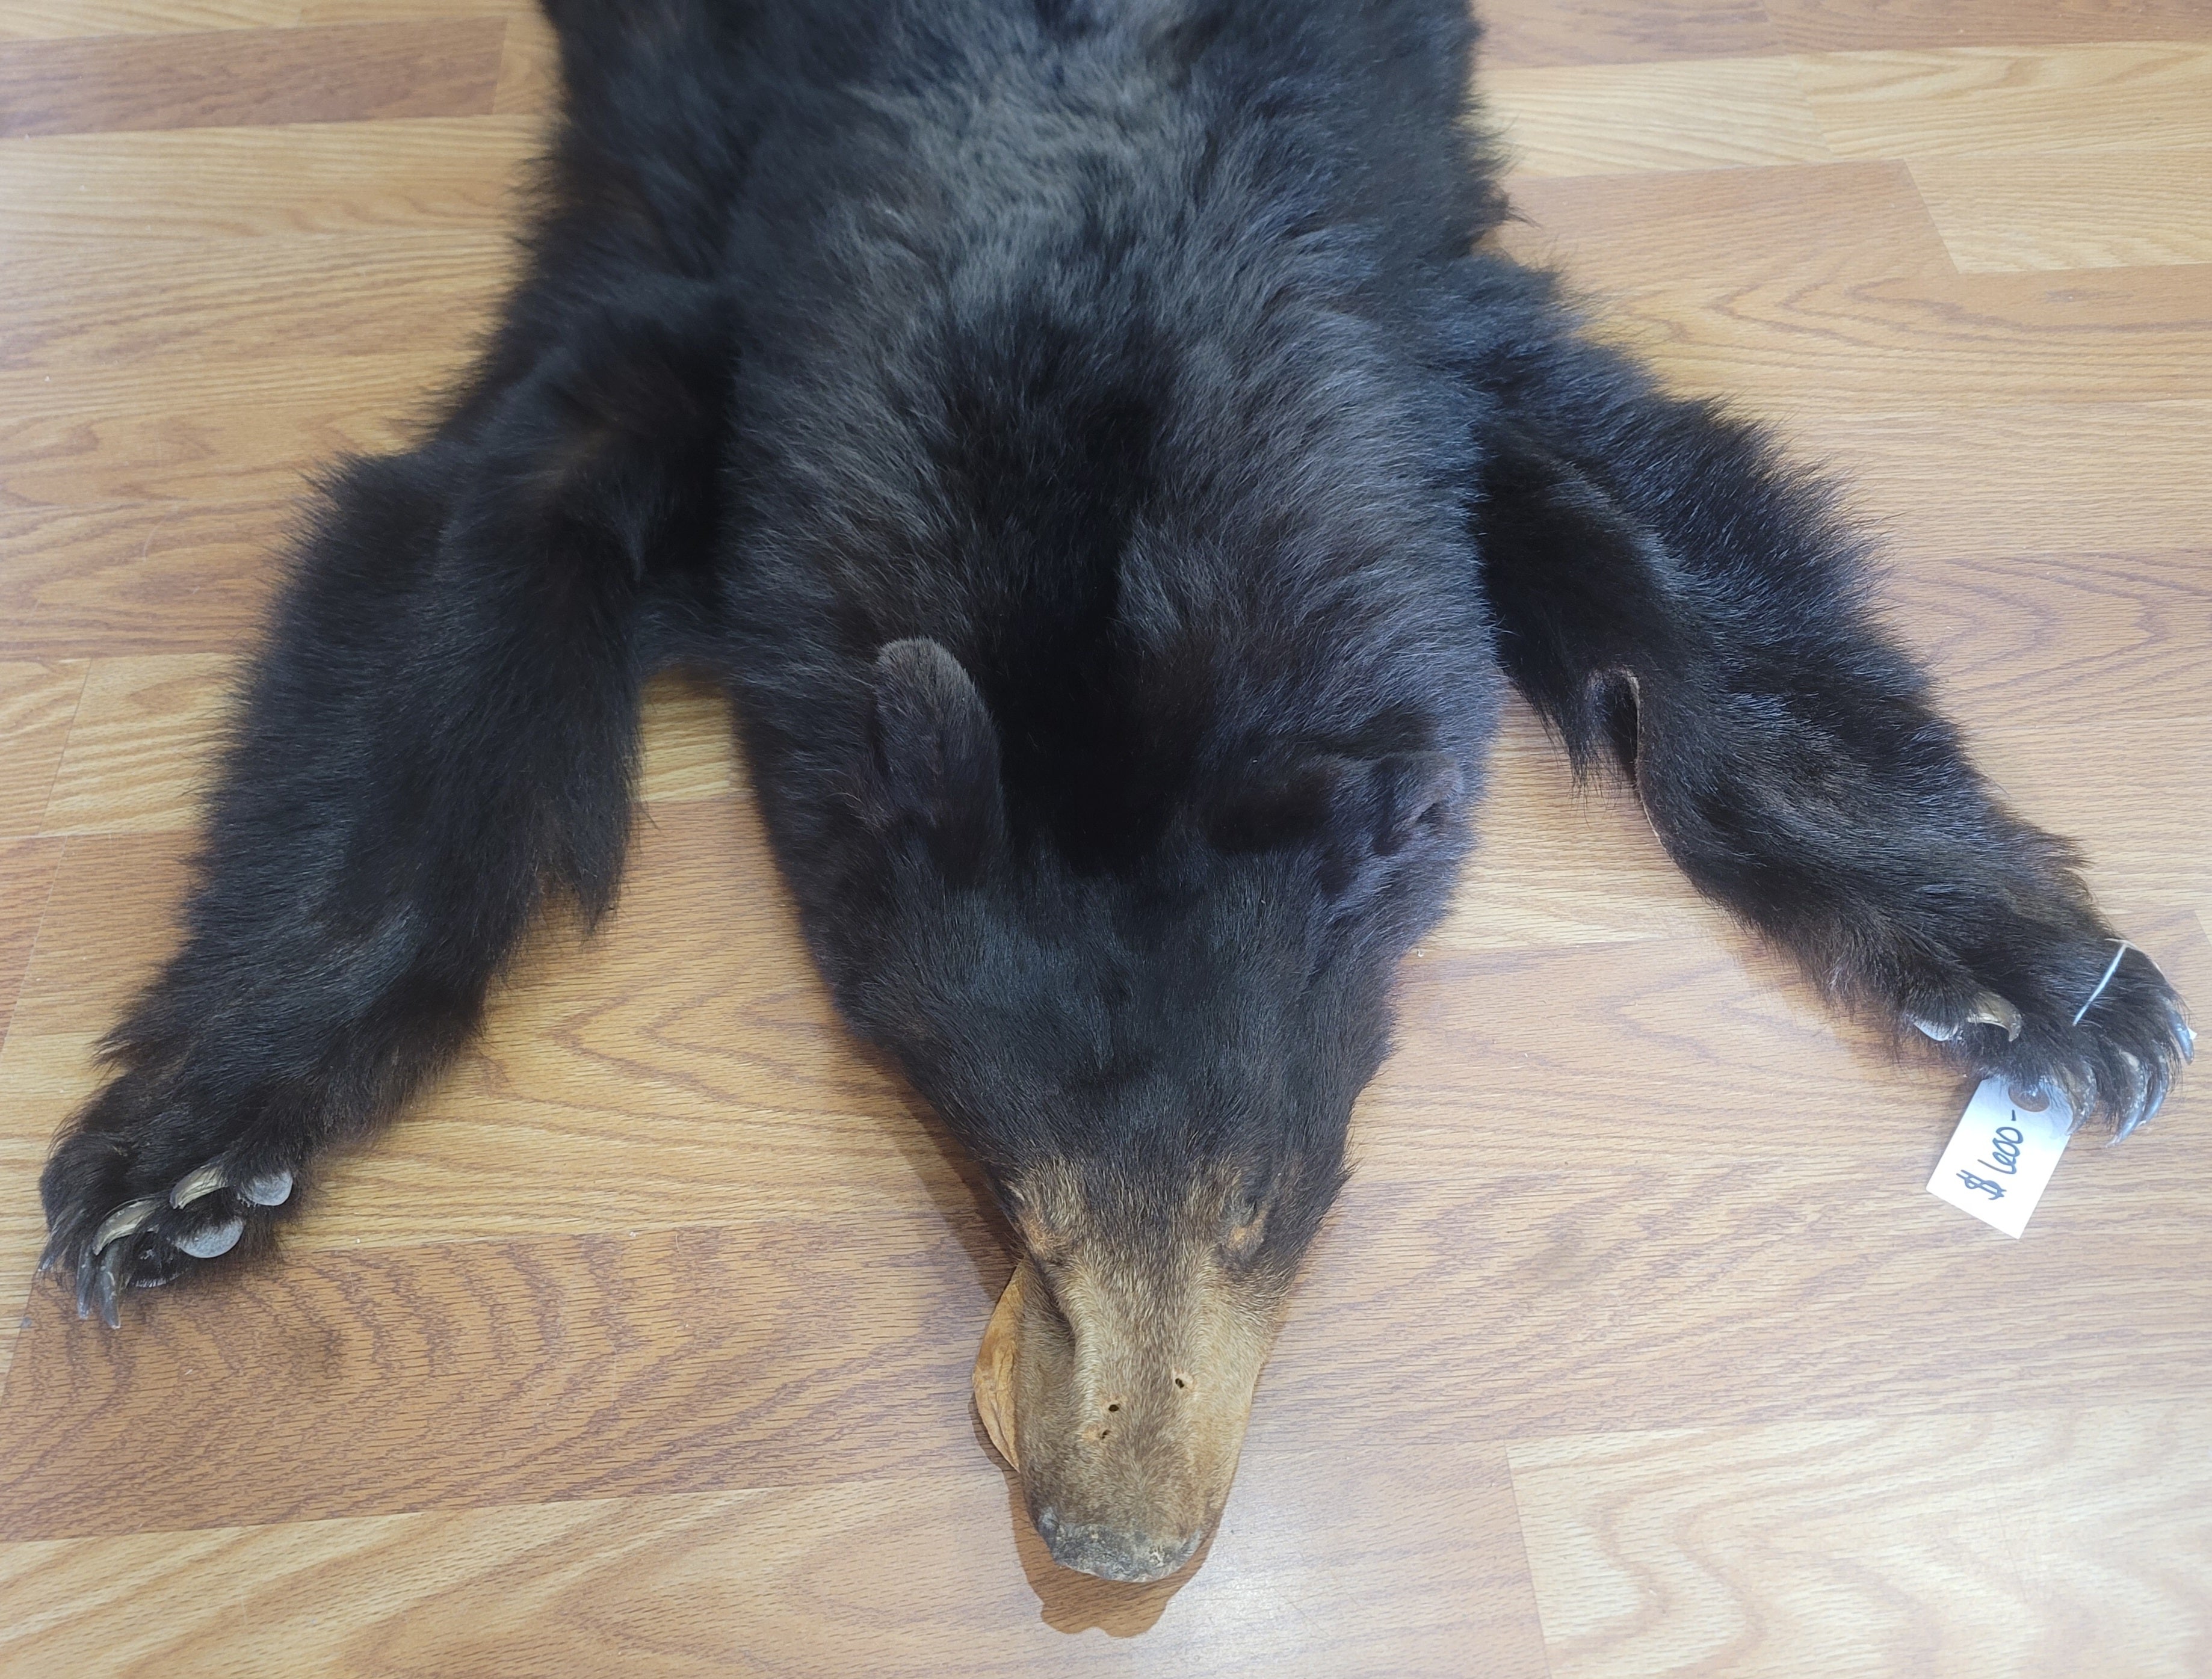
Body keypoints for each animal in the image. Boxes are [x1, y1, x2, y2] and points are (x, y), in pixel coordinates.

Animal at [38, 0, 2190, 1584]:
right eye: (1008, 1191)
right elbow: (453, 563)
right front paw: (192, 1150)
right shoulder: (707, 321)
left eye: (1268, 1202)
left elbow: (1675, 544)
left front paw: (2045, 982)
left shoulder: (1410, 346)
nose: (1111, 1548)